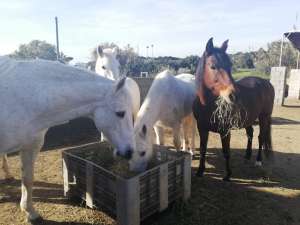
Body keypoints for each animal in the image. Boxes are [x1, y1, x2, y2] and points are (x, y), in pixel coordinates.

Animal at [192, 37, 274, 180]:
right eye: (213, 66)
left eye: (230, 65)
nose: (234, 95)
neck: (207, 105)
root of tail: (266, 82)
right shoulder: (202, 128)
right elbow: (203, 149)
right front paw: (200, 171)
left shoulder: (225, 131)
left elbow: (226, 152)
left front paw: (228, 175)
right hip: (249, 118)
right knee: (250, 133)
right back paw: (247, 156)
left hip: (264, 117)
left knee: (261, 137)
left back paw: (258, 160)